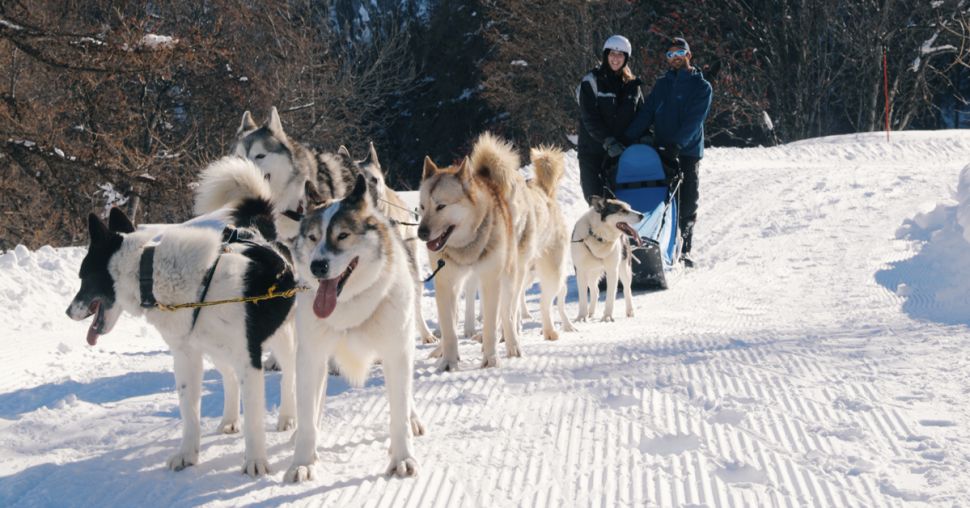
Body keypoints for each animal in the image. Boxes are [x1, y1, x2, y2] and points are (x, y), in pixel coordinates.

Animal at [67, 158, 294, 476]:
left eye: (83, 277)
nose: (68, 311)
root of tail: (258, 231)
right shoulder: (186, 357)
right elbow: (190, 413)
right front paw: (188, 454)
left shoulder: (249, 359)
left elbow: (254, 419)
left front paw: (256, 461)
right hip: (214, 350)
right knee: (229, 378)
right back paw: (229, 420)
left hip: (281, 338)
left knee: (289, 376)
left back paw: (287, 417)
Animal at [286, 176, 426, 484]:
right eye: (313, 237)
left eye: (342, 235)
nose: (317, 266)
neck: (349, 306)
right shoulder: (310, 358)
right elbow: (307, 414)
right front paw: (303, 461)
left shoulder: (396, 353)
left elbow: (399, 411)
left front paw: (403, 457)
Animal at [414, 132, 520, 370]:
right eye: (423, 207)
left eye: (441, 206)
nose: (421, 232)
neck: (466, 247)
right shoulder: (445, 283)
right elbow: (449, 329)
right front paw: (448, 362)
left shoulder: (491, 281)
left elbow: (490, 326)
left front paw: (491, 359)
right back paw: (440, 350)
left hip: (507, 278)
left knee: (506, 315)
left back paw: (512, 345)